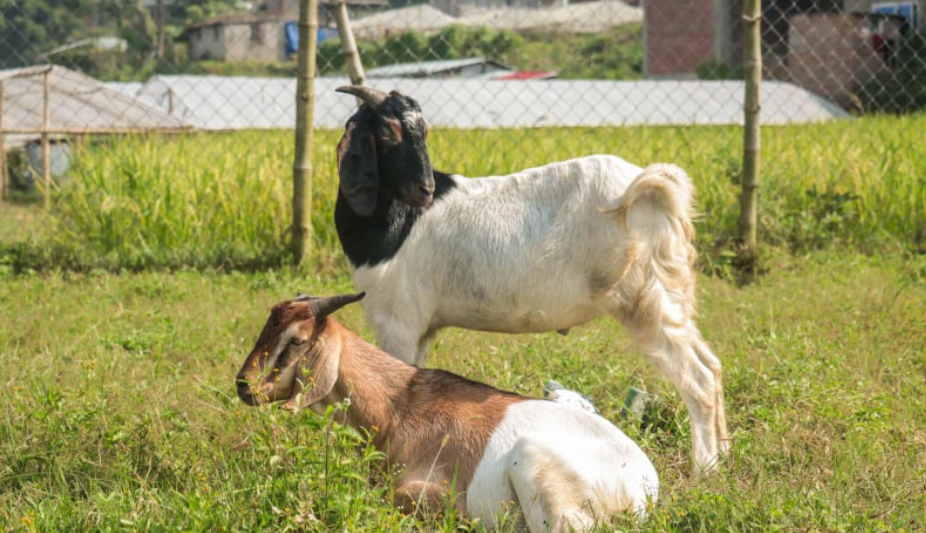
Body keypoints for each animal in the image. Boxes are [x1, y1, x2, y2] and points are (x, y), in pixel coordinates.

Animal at [334, 86, 732, 470]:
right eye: (388, 131)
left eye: (422, 131)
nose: (426, 188)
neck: (397, 220)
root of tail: (653, 187)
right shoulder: (422, 329)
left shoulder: (398, 322)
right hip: (671, 291)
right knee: (712, 365)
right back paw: (725, 453)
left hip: (642, 298)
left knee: (697, 377)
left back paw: (704, 469)